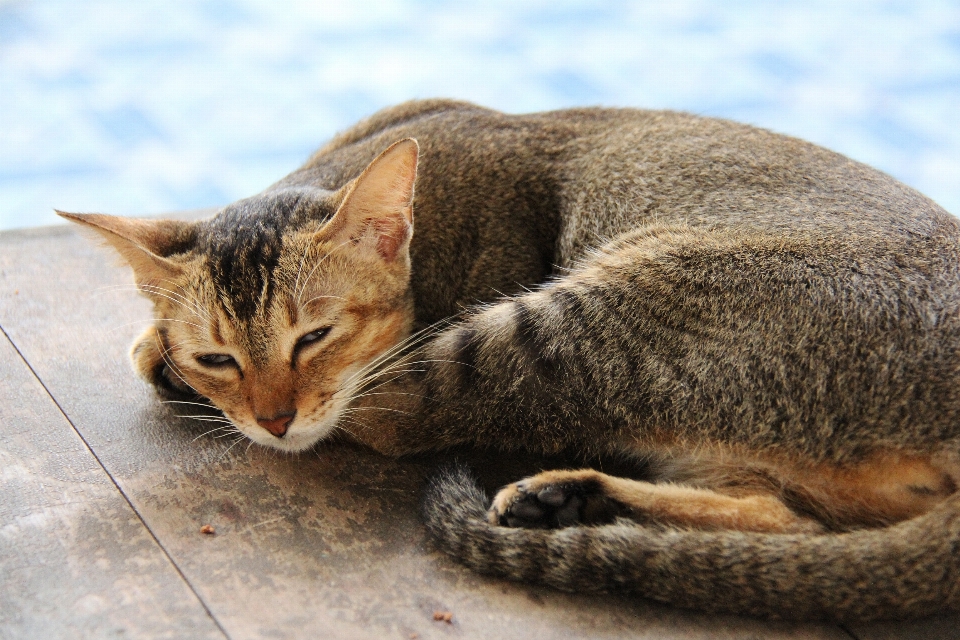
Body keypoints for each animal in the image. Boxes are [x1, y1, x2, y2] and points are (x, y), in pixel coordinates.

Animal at [60, 99, 960, 620]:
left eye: (313, 337)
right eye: (219, 355)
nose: (273, 418)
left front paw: (164, 361)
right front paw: (165, 349)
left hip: (587, 319)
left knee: (400, 413)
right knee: (787, 517)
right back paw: (569, 501)